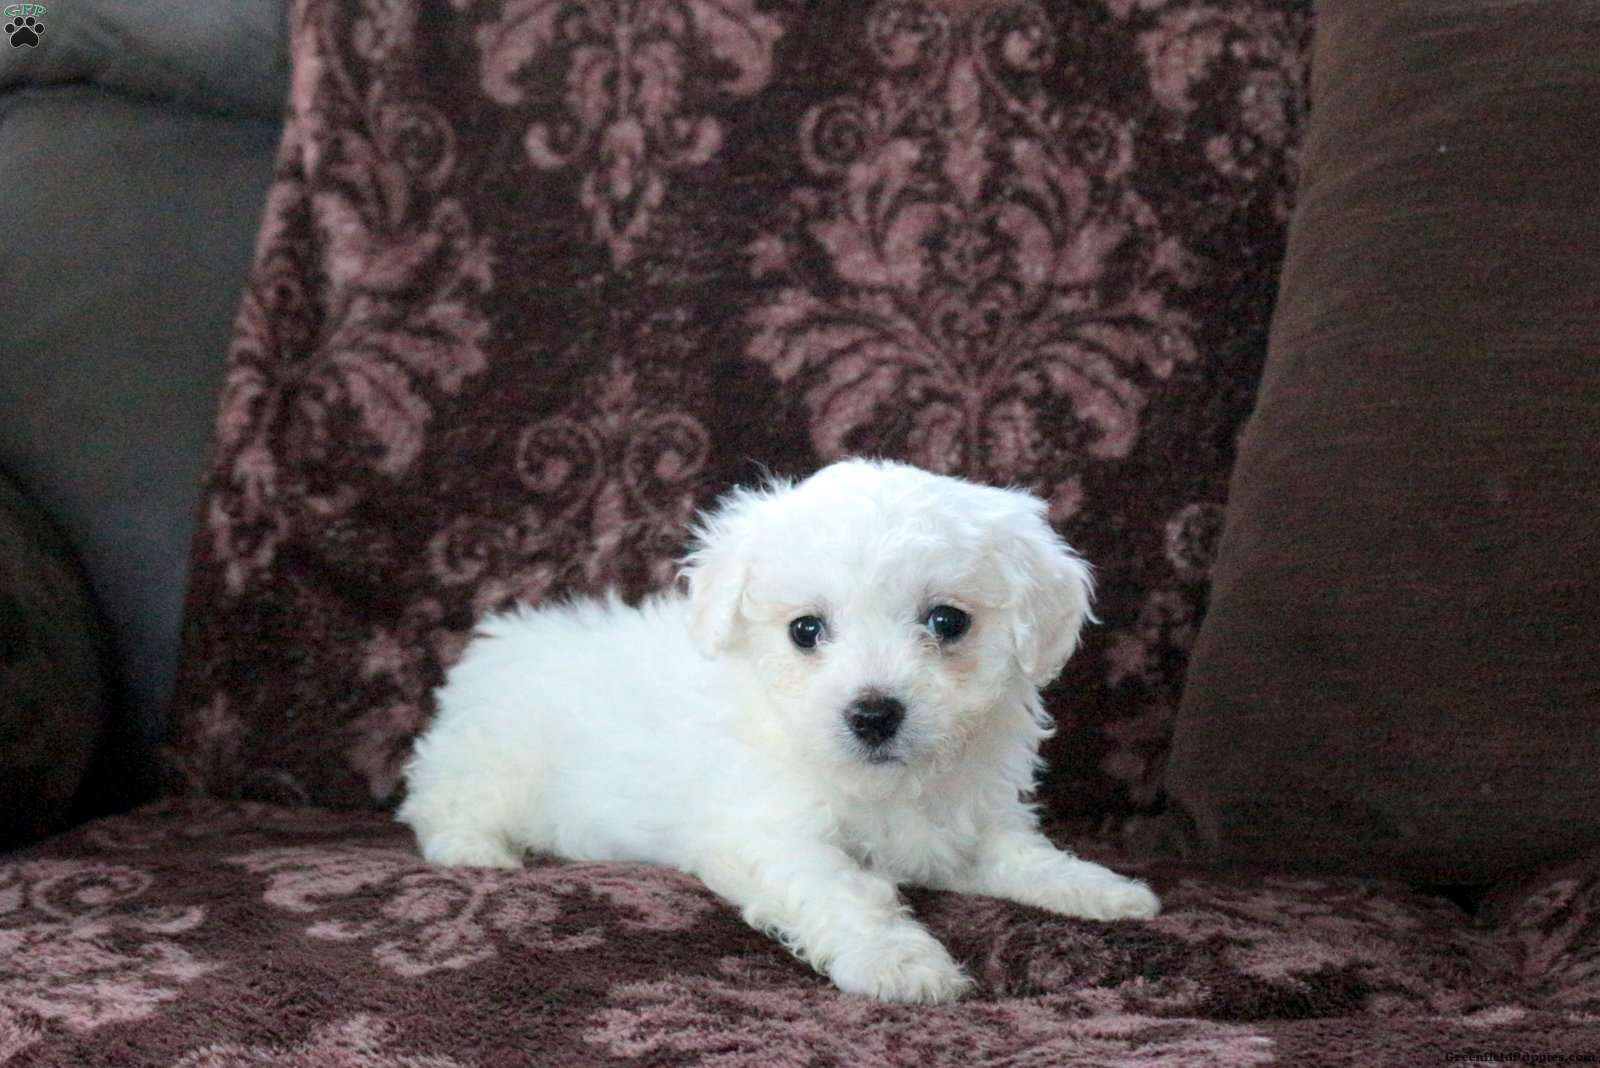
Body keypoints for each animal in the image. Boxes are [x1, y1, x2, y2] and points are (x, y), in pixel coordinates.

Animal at [398, 459, 1159, 1003]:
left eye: (948, 621)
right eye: (805, 630)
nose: (874, 712)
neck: (884, 785)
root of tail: (493, 650)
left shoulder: (964, 823)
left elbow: (1022, 857)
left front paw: (1102, 891)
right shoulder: (768, 833)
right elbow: (842, 891)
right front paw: (900, 964)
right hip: (491, 764)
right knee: (438, 802)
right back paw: (478, 852)